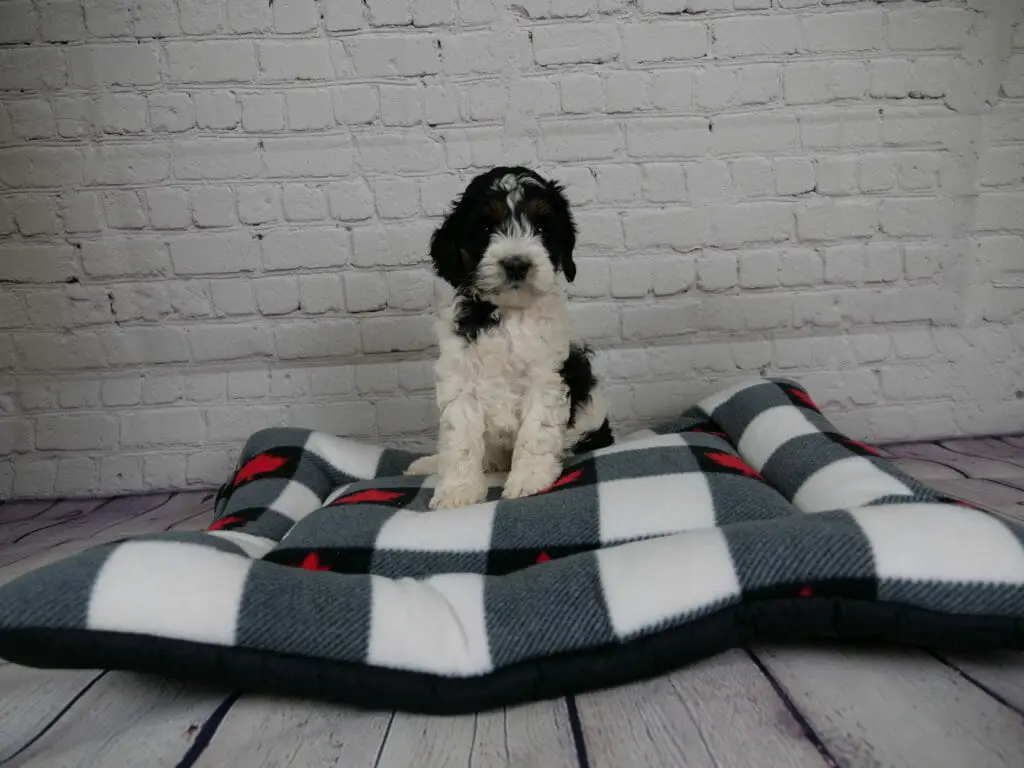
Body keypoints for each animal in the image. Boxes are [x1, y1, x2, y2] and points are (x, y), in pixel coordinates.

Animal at [403, 166, 610, 512]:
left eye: (541, 227)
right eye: (486, 227)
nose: (516, 264)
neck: (509, 314)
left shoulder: (546, 380)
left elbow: (536, 432)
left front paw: (529, 480)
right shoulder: (460, 383)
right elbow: (460, 441)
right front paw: (458, 491)